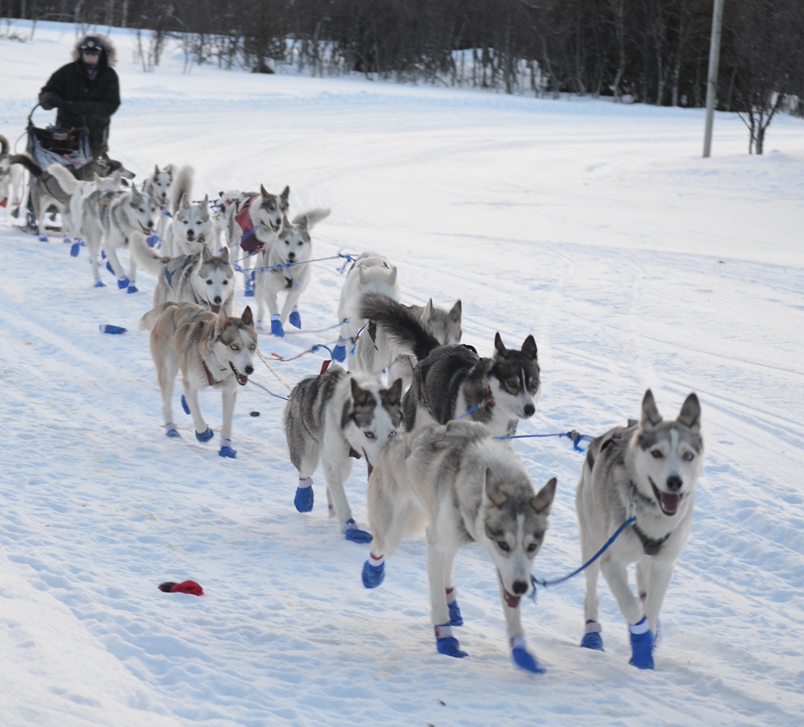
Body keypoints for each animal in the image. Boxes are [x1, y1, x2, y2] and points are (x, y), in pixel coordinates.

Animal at [142, 302, 257, 459]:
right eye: (234, 347)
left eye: (252, 346)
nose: (249, 369)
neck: (216, 364)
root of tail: (174, 306)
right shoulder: (191, 384)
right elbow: (196, 413)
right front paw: (203, 433)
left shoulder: (229, 391)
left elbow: (227, 424)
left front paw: (226, 447)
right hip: (169, 370)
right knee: (167, 403)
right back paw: (171, 429)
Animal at [254, 207, 330, 337]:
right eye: (287, 241)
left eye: (300, 242)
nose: (291, 254)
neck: (289, 271)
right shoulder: (269, 291)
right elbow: (274, 307)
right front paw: (276, 326)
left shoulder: (294, 292)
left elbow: (285, 310)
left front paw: (279, 326)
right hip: (260, 286)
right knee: (260, 306)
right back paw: (259, 323)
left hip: (301, 285)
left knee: (295, 300)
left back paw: (295, 314)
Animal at [283, 365, 403, 542]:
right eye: (369, 434)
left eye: (392, 433)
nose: (383, 465)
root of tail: (300, 386)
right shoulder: (330, 458)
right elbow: (341, 498)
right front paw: (351, 528)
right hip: (307, 455)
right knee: (306, 472)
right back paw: (304, 500)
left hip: (346, 464)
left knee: (333, 484)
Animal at [362, 418, 556, 672]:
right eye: (504, 544)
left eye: (532, 546)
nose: (522, 587)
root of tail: (396, 438)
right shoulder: (437, 544)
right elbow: (436, 602)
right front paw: (446, 640)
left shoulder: (507, 568)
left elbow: (510, 604)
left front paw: (521, 650)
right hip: (397, 531)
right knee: (382, 545)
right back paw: (372, 573)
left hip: (449, 533)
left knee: (448, 561)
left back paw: (451, 601)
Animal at [575, 389, 704, 669]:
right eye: (657, 453)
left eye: (688, 455)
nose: (675, 482)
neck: (653, 517)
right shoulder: (611, 562)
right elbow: (631, 606)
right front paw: (641, 643)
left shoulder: (665, 564)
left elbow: (651, 609)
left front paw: (647, 649)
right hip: (593, 544)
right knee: (591, 593)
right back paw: (592, 635)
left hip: (646, 559)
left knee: (644, 582)